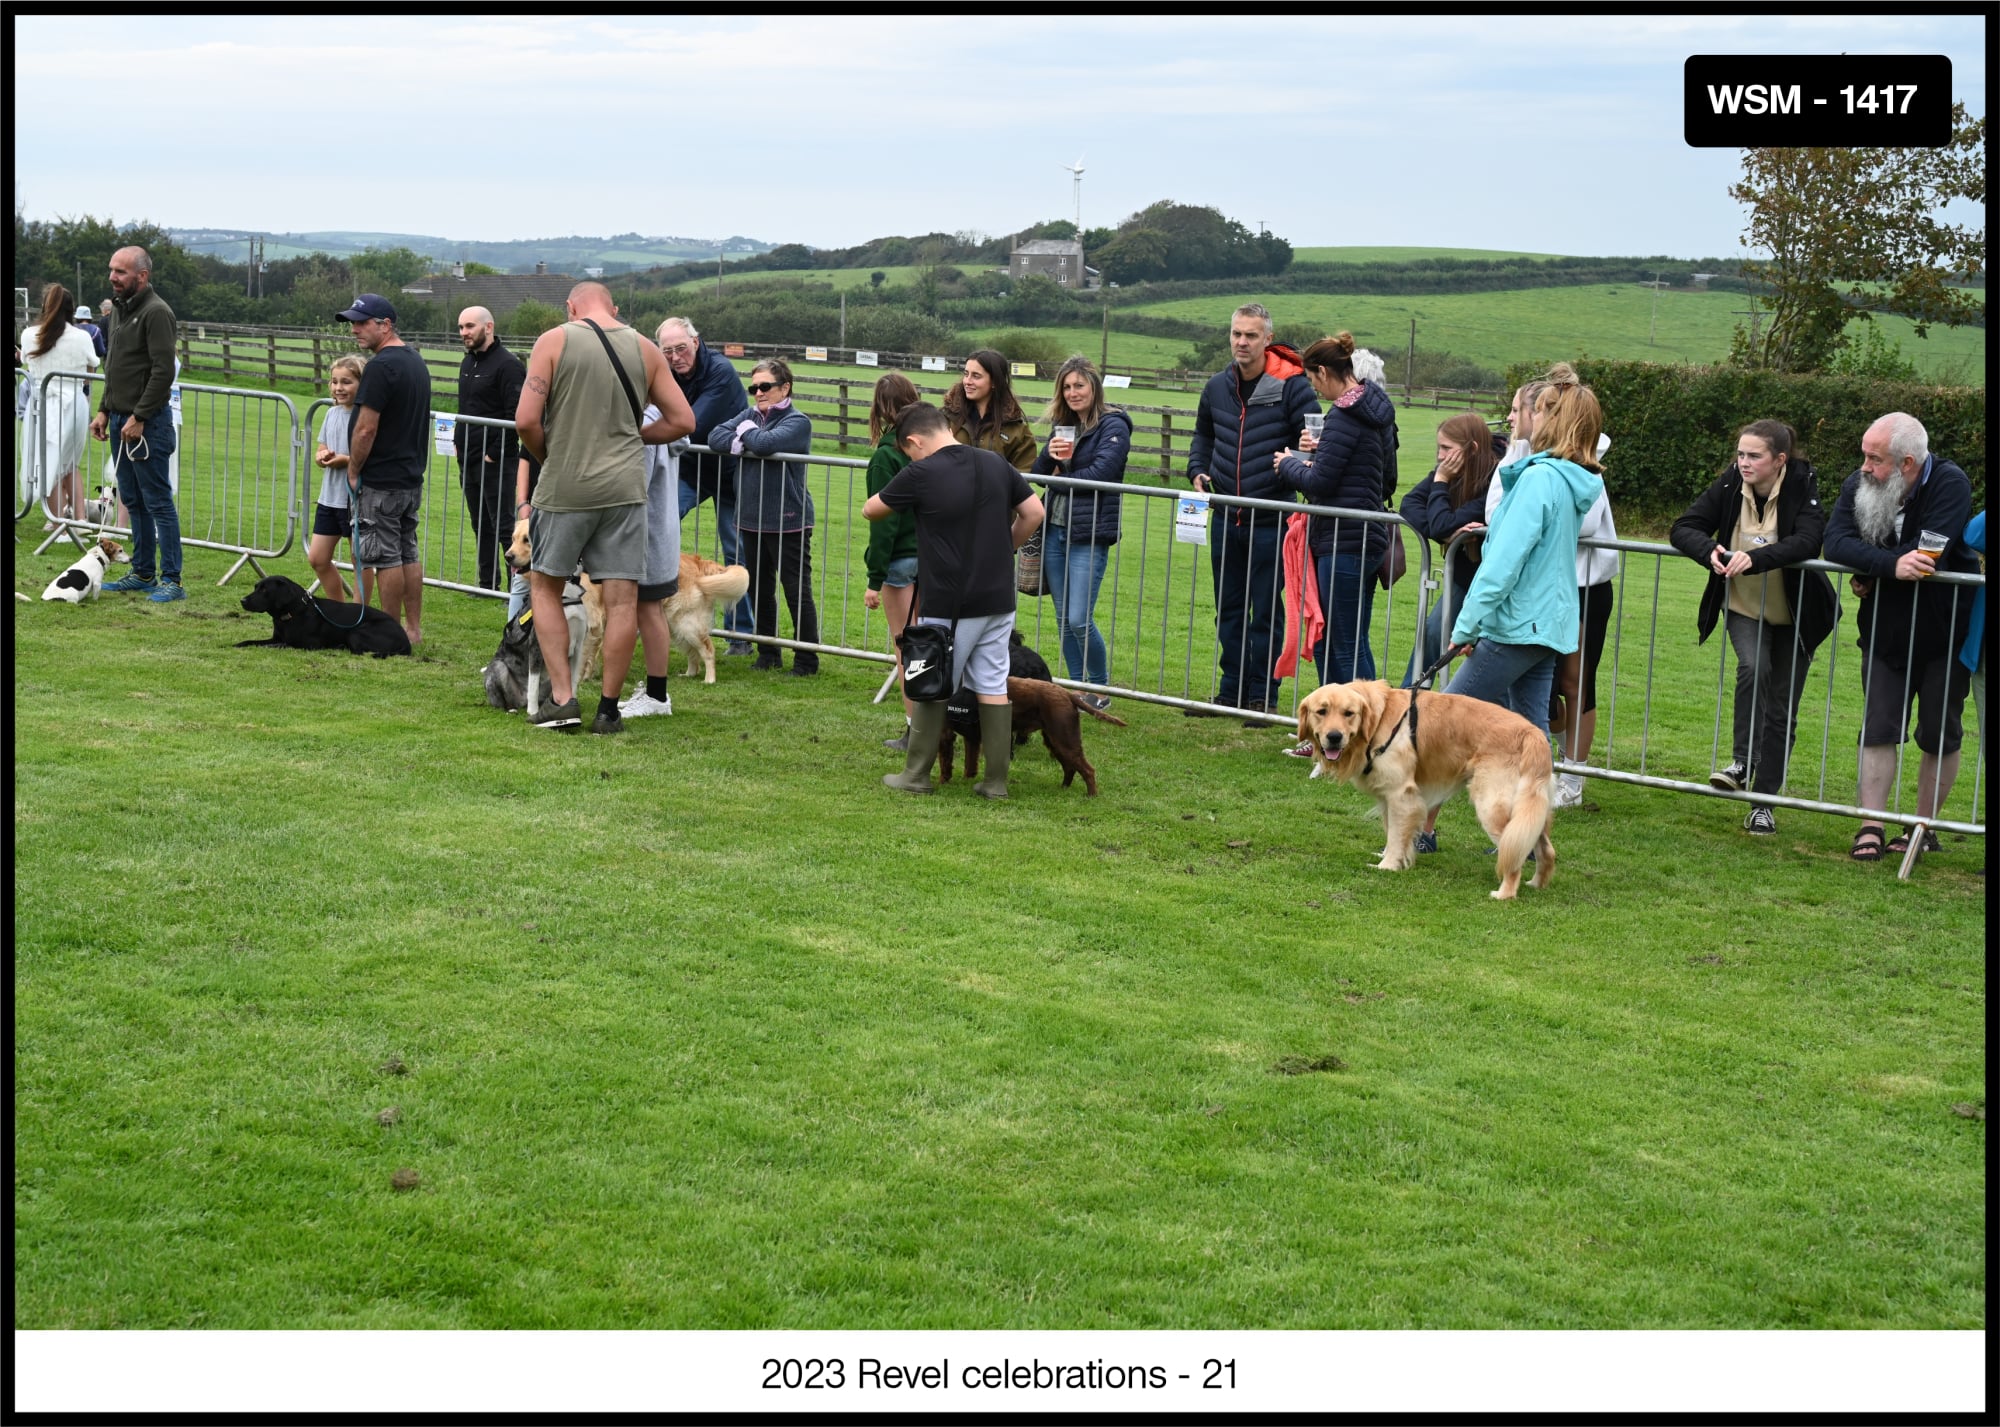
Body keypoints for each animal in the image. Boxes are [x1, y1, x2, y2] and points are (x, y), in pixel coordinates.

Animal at [1296, 671, 1560, 895]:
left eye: (1348, 713)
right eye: (1322, 711)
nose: (1334, 737)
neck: (1379, 720)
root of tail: (1533, 734)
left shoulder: (1402, 794)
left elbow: (1396, 835)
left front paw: (1387, 865)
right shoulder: (1389, 797)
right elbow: (1393, 831)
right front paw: (1395, 857)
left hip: (1492, 806)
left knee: (1513, 854)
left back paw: (1504, 893)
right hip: (1530, 810)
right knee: (1545, 850)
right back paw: (1536, 884)